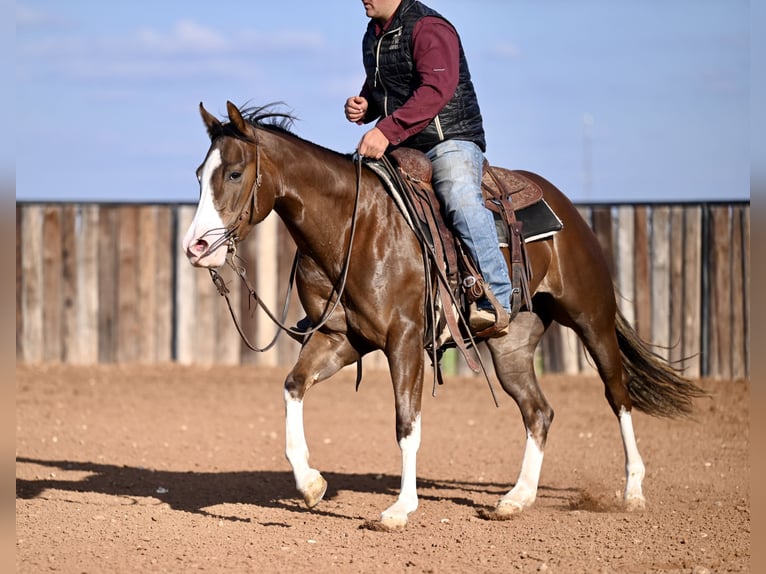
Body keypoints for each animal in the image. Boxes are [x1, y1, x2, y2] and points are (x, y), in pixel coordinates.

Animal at [182, 102, 708, 532]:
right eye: (199, 174)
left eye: (234, 173)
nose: (196, 247)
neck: (355, 224)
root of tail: (566, 211)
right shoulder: (340, 339)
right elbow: (293, 386)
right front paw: (311, 484)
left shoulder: (405, 339)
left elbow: (406, 422)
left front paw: (400, 509)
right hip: (511, 344)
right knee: (538, 411)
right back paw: (516, 499)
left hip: (592, 318)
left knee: (618, 396)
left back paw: (632, 491)